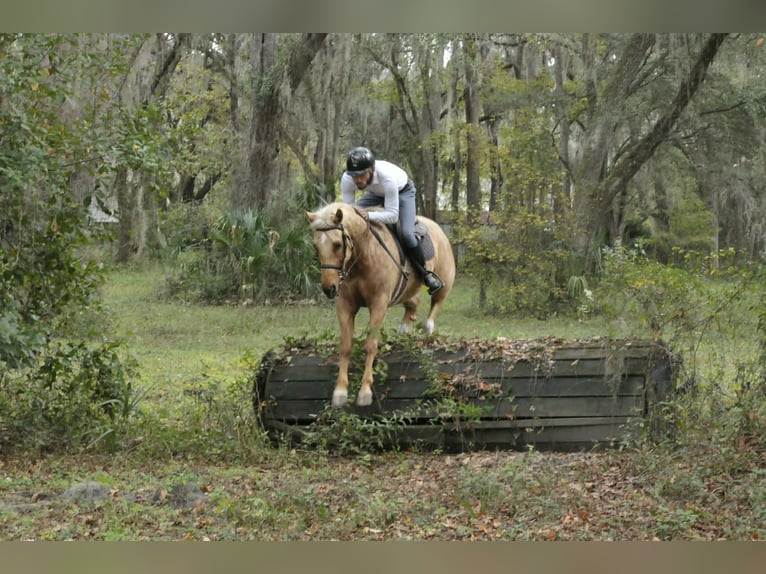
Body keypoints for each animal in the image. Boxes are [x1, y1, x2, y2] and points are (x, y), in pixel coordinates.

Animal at [305, 202, 456, 408]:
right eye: (316, 246)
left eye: (337, 245)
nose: (329, 289)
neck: (362, 256)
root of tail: (437, 227)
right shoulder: (345, 305)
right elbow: (345, 346)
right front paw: (340, 391)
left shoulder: (379, 304)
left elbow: (370, 346)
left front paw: (365, 392)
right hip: (407, 290)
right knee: (412, 302)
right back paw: (404, 327)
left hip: (444, 280)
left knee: (436, 301)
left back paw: (428, 326)